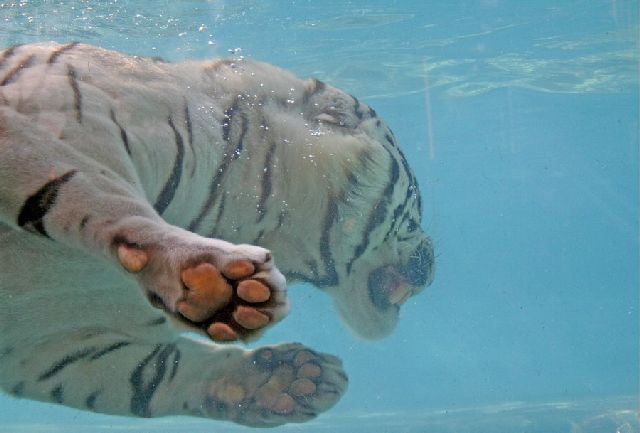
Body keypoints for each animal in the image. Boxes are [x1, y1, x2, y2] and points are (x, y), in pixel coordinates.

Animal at [0, 42, 436, 426]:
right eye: (417, 206)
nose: (432, 267)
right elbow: (88, 186)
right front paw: (214, 281)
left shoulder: (56, 348)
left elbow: (151, 379)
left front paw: (291, 379)